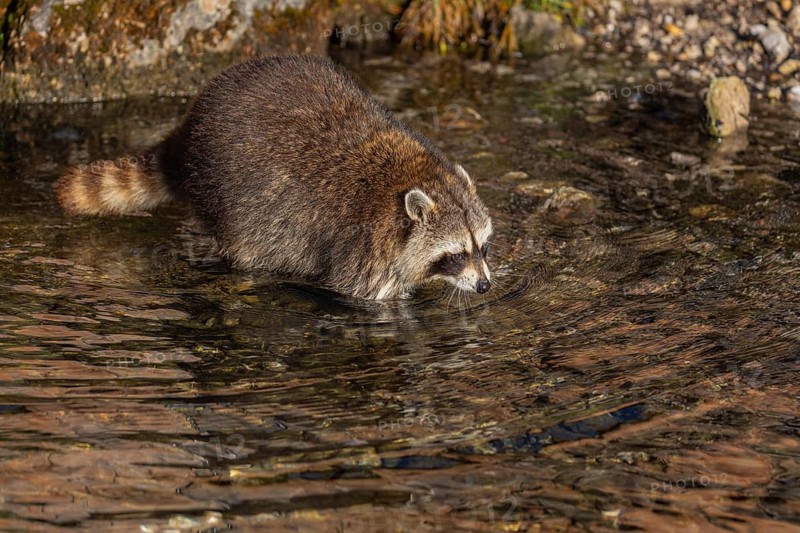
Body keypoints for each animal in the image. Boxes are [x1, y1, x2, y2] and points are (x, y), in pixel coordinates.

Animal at [55, 55, 493, 300]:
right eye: (456, 254)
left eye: (483, 248)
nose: (485, 286)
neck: (411, 175)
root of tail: (187, 133)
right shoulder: (363, 247)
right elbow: (370, 301)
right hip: (229, 198)